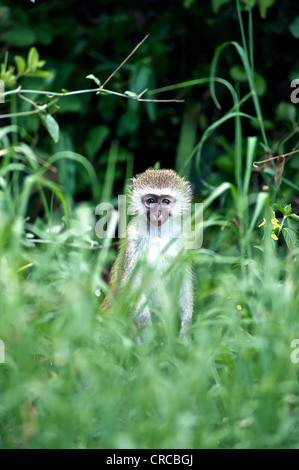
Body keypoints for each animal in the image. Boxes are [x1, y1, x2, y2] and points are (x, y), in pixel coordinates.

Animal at [106, 169, 193, 338]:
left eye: (165, 202)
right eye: (151, 201)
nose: (158, 213)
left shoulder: (183, 239)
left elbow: (184, 281)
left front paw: (186, 328)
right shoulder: (132, 238)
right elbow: (133, 284)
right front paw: (148, 336)